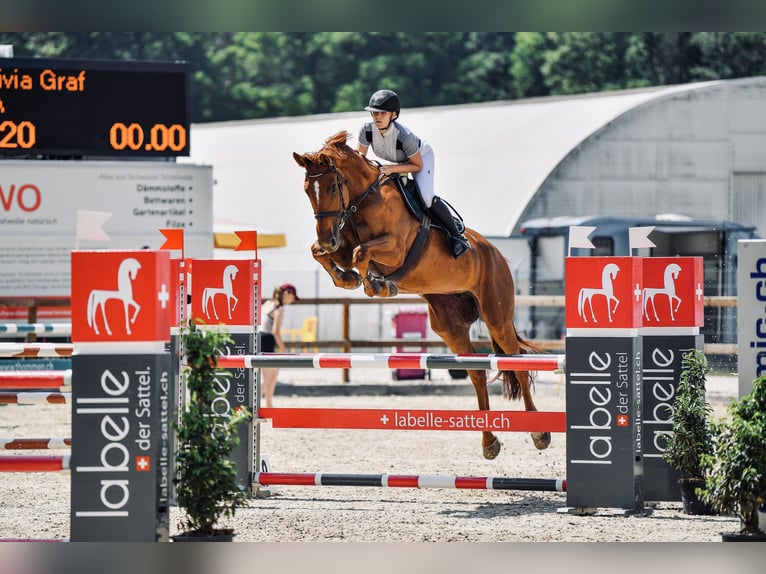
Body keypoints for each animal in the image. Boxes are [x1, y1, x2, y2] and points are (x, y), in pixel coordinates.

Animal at [294, 133, 552, 462]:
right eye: (307, 190)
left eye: (332, 187)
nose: (328, 238)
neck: (362, 201)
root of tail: (496, 254)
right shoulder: (342, 244)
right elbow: (325, 253)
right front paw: (348, 278)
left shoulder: (394, 248)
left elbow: (361, 253)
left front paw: (375, 285)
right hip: (450, 326)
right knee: (477, 373)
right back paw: (489, 442)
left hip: (497, 317)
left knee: (517, 363)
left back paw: (539, 434)